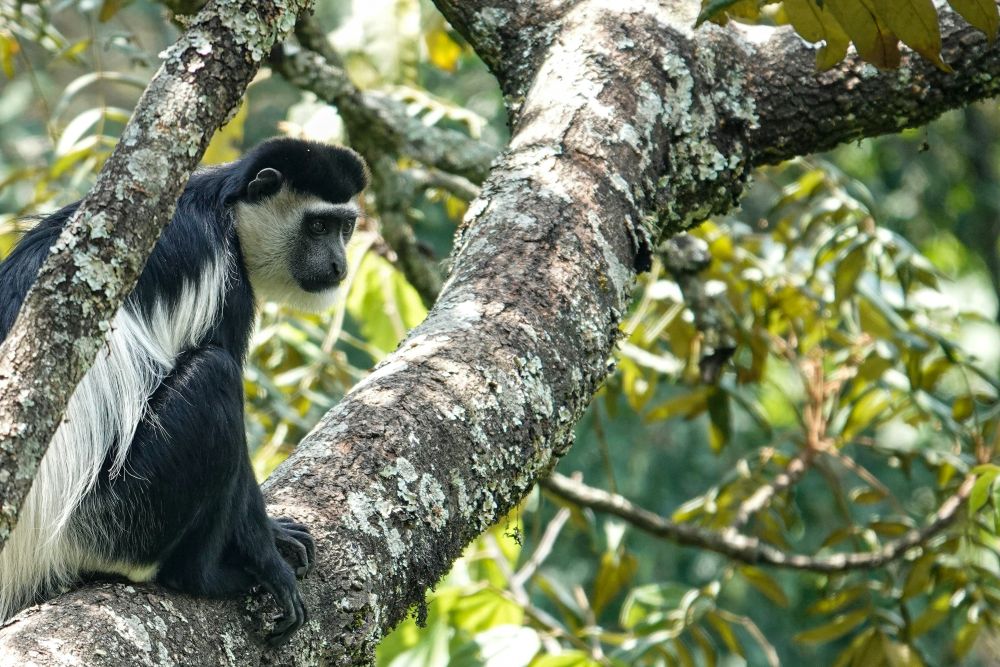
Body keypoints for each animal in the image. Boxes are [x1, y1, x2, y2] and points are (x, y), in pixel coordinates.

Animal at [0, 137, 368, 646]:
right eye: (317, 226)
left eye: (344, 227)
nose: (338, 267)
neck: (225, 210)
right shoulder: (226, 279)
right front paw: (268, 552)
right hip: (113, 517)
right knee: (214, 376)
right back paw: (204, 576)